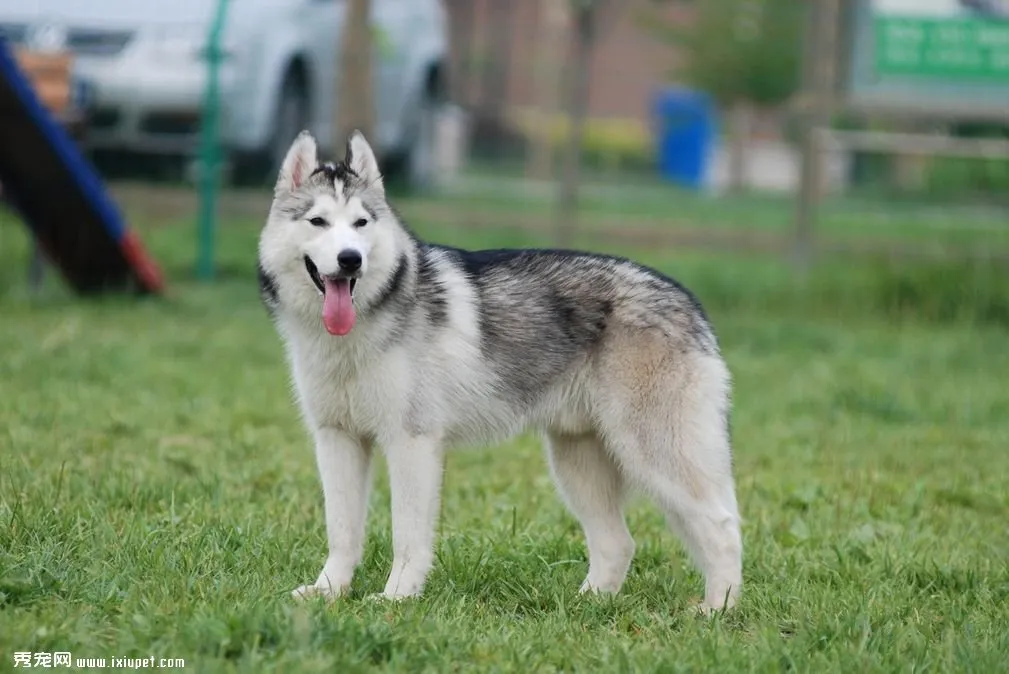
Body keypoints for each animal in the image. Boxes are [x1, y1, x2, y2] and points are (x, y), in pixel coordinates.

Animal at [254, 130, 742, 609]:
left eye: (361, 224)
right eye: (318, 222)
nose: (351, 259)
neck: (353, 338)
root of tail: (688, 300)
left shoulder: (411, 444)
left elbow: (406, 537)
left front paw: (397, 599)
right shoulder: (337, 439)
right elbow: (342, 532)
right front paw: (329, 592)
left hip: (654, 454)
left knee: (723, 527)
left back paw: (717, 609)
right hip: (576, 463)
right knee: (618, 543)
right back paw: (588, 605)